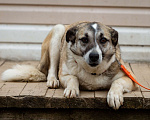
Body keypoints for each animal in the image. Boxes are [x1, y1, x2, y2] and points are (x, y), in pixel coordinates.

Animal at [1, 21, 137, 109]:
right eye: (84, 39)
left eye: (103, 40)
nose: (94, 56)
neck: (92, 71)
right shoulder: (64, 75)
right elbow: (73, 77)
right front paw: (72, 89)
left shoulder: (131, 79)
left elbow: (117, 82)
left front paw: (114, 95)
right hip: (58, 32)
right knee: (51, 69)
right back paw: (52, 80)